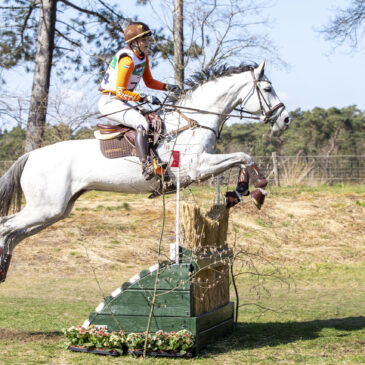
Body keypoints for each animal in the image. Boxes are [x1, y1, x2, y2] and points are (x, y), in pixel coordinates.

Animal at [0, 61, 290, 282]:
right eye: (267, 88)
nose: (285, 120)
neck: (194, 121)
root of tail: (30, 156)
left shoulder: (203, 166)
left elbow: (240, 161)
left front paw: (239, 192)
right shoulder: (197, 167)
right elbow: (243, 156)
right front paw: (258, 187)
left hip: (55, 210)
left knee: (14, 233)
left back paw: (4, 269)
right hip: (46, 207)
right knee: (6, 228)